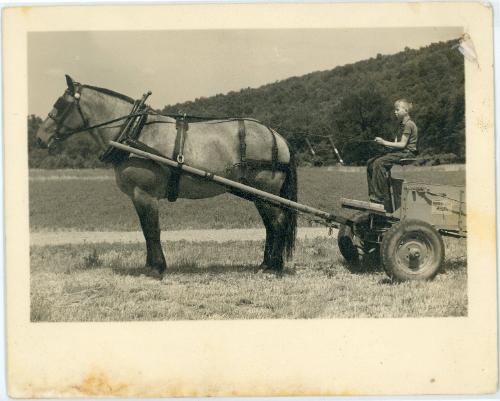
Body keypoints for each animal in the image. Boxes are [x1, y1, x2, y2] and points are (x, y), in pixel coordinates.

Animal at [37, 75, 298, 276]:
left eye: (60, 104)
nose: (40, 137)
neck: (135, 133)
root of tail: (277, 136)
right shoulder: (138, 196)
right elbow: (146, 230)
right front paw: (150, 266)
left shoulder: (144, 194)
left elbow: (152, 230)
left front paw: (156, 268)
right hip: (259, 195)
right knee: (271, 225)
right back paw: (266, 264)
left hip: (265, 192)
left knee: (278, 222)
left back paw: (273, 267)